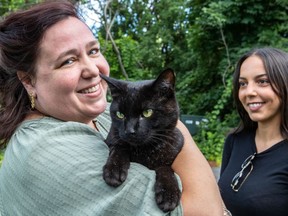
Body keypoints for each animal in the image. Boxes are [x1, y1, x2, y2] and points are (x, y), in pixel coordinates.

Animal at [100, 68, 183, 212]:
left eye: (147, 112)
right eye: (120, 114)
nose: (129, 130)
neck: (144, 150)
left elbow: (166, 168)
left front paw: (169, 193)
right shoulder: (112, 140)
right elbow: (119, 148)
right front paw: (114, 170)